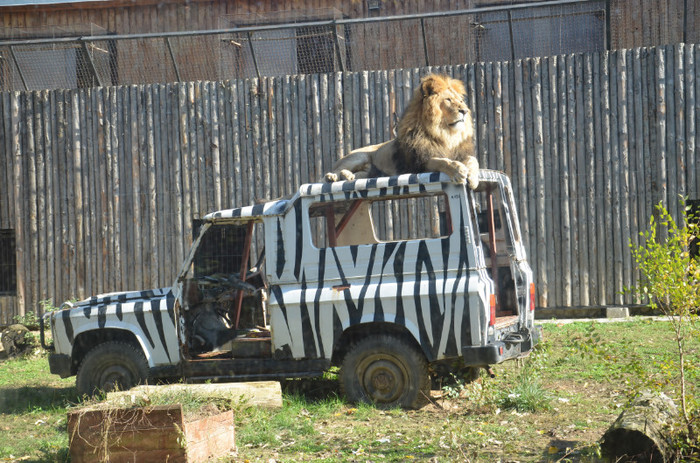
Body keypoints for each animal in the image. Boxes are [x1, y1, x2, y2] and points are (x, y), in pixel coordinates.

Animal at [324, 74, 478, 188]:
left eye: (461, 101)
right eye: (448, 100)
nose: (465, 111)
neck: (446, 135)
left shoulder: (460, 152)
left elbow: (472, 159)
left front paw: (473, 176)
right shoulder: (418, 163)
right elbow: (441, 161)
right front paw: (458, 170)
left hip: (368, 172)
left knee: (358, 174)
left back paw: (347, 175)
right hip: (358, 156)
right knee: (331, 172)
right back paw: (332, 176)